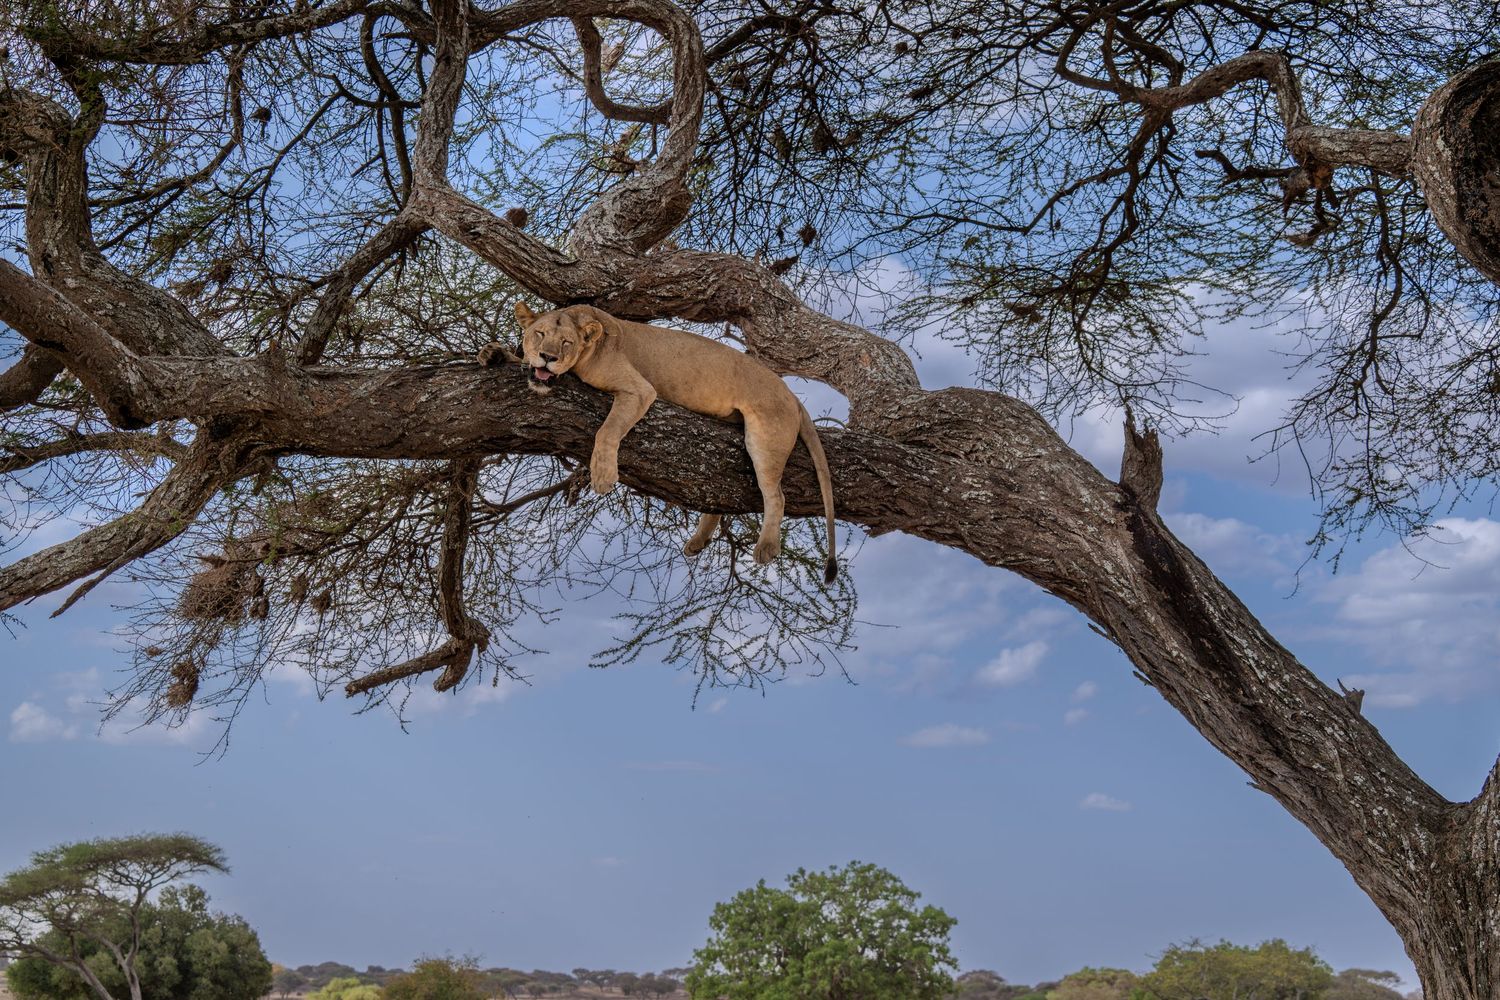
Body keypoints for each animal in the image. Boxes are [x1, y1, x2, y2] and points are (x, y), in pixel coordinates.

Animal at [478, 303, 838, 583]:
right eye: (539, 334)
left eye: (566, 342)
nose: (547, 357)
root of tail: (791, 394)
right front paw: (493, 353)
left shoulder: (639, 390)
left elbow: (606, 431)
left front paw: (603, 477)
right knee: (720, 496)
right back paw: (697, 542)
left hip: (765, 438)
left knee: (775, 494)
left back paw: (766, 547)